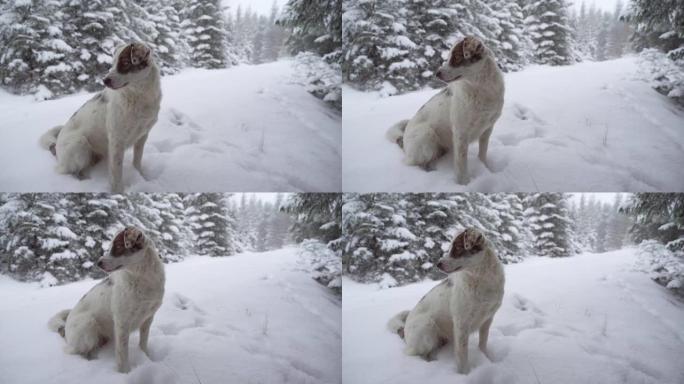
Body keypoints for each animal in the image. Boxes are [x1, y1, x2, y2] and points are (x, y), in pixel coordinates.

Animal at [39, 42, 162, 192]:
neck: (139, 97)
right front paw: (118, 191)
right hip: (80, 144)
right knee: (68, 171)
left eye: (125, 62)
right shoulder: (116, 140)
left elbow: (137, 161)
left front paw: (140, 176)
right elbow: (116, 173)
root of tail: (55, 146)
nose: (105, 80)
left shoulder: (142, 136)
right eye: (113, 63)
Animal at [47, 226, 164, 374]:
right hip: (88, 325)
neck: (143, 279)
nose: (98, 263)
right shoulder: (122, 323)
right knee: (73, 351)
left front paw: (146, 357)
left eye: (118, 246)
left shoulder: (148, 319)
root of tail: (65, 327)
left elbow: (143, 344)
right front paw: (125, 373)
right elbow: (122, 355)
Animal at [388, 36, 504, 184]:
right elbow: (461, 163)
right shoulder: (461, 133)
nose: (436, 73)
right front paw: (464, 183)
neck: (481, 90)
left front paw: (485, 167)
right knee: (412, 162)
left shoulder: (487, 129)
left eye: (456, 57)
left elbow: (482, 153)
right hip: (426, 135)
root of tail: (403, 139)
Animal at [388, 230, 504, 374]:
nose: (438, 264)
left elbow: (482, 344)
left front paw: (486, 357)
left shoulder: (487, 320)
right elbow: (462, 354)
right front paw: (465, 374)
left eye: (458, 248)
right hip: (427, 327)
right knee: (413, 352)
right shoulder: (461, 323)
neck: (481, 279)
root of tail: (404, 330)